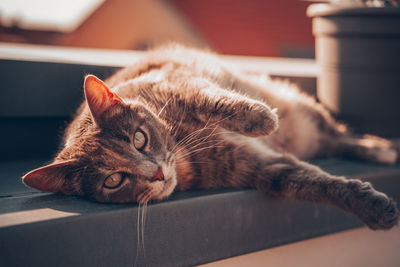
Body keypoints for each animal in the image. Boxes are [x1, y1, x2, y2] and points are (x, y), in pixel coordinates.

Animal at [23, 44, 398, 230]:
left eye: (139, 139)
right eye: (113, 181)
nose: (156, 174)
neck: (185, 153)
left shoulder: (178, 82)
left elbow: (210, 99)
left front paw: (261, 119)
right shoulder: (258, 169)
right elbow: (312, 182)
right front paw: (372, 208)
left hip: (307, 116)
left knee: (341, 134)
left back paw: (380, 148)